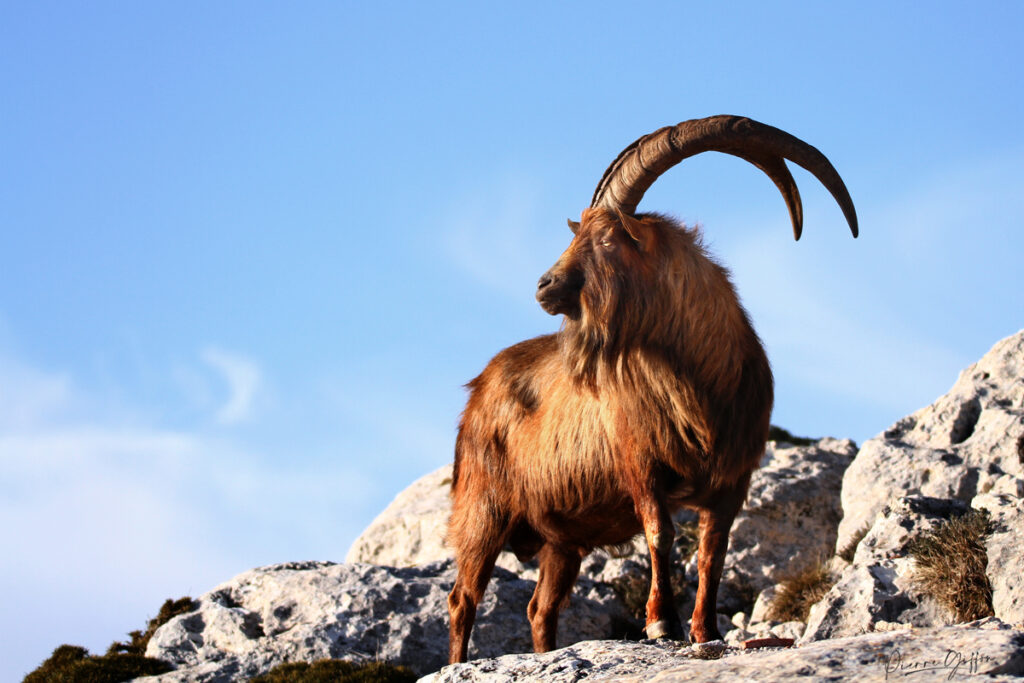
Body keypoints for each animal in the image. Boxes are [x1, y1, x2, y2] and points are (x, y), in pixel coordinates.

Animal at [446, 115, 858, 663]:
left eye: (604, 240)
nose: (544, 285)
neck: (698, 390)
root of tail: (478, 389)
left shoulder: (732, 481)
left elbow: (712, 553)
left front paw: (704, 630)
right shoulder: (642, 464)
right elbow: (660, 534)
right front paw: (662, 622)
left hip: (561, 541)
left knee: (540, 608)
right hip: (482, 512)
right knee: (463, 598)